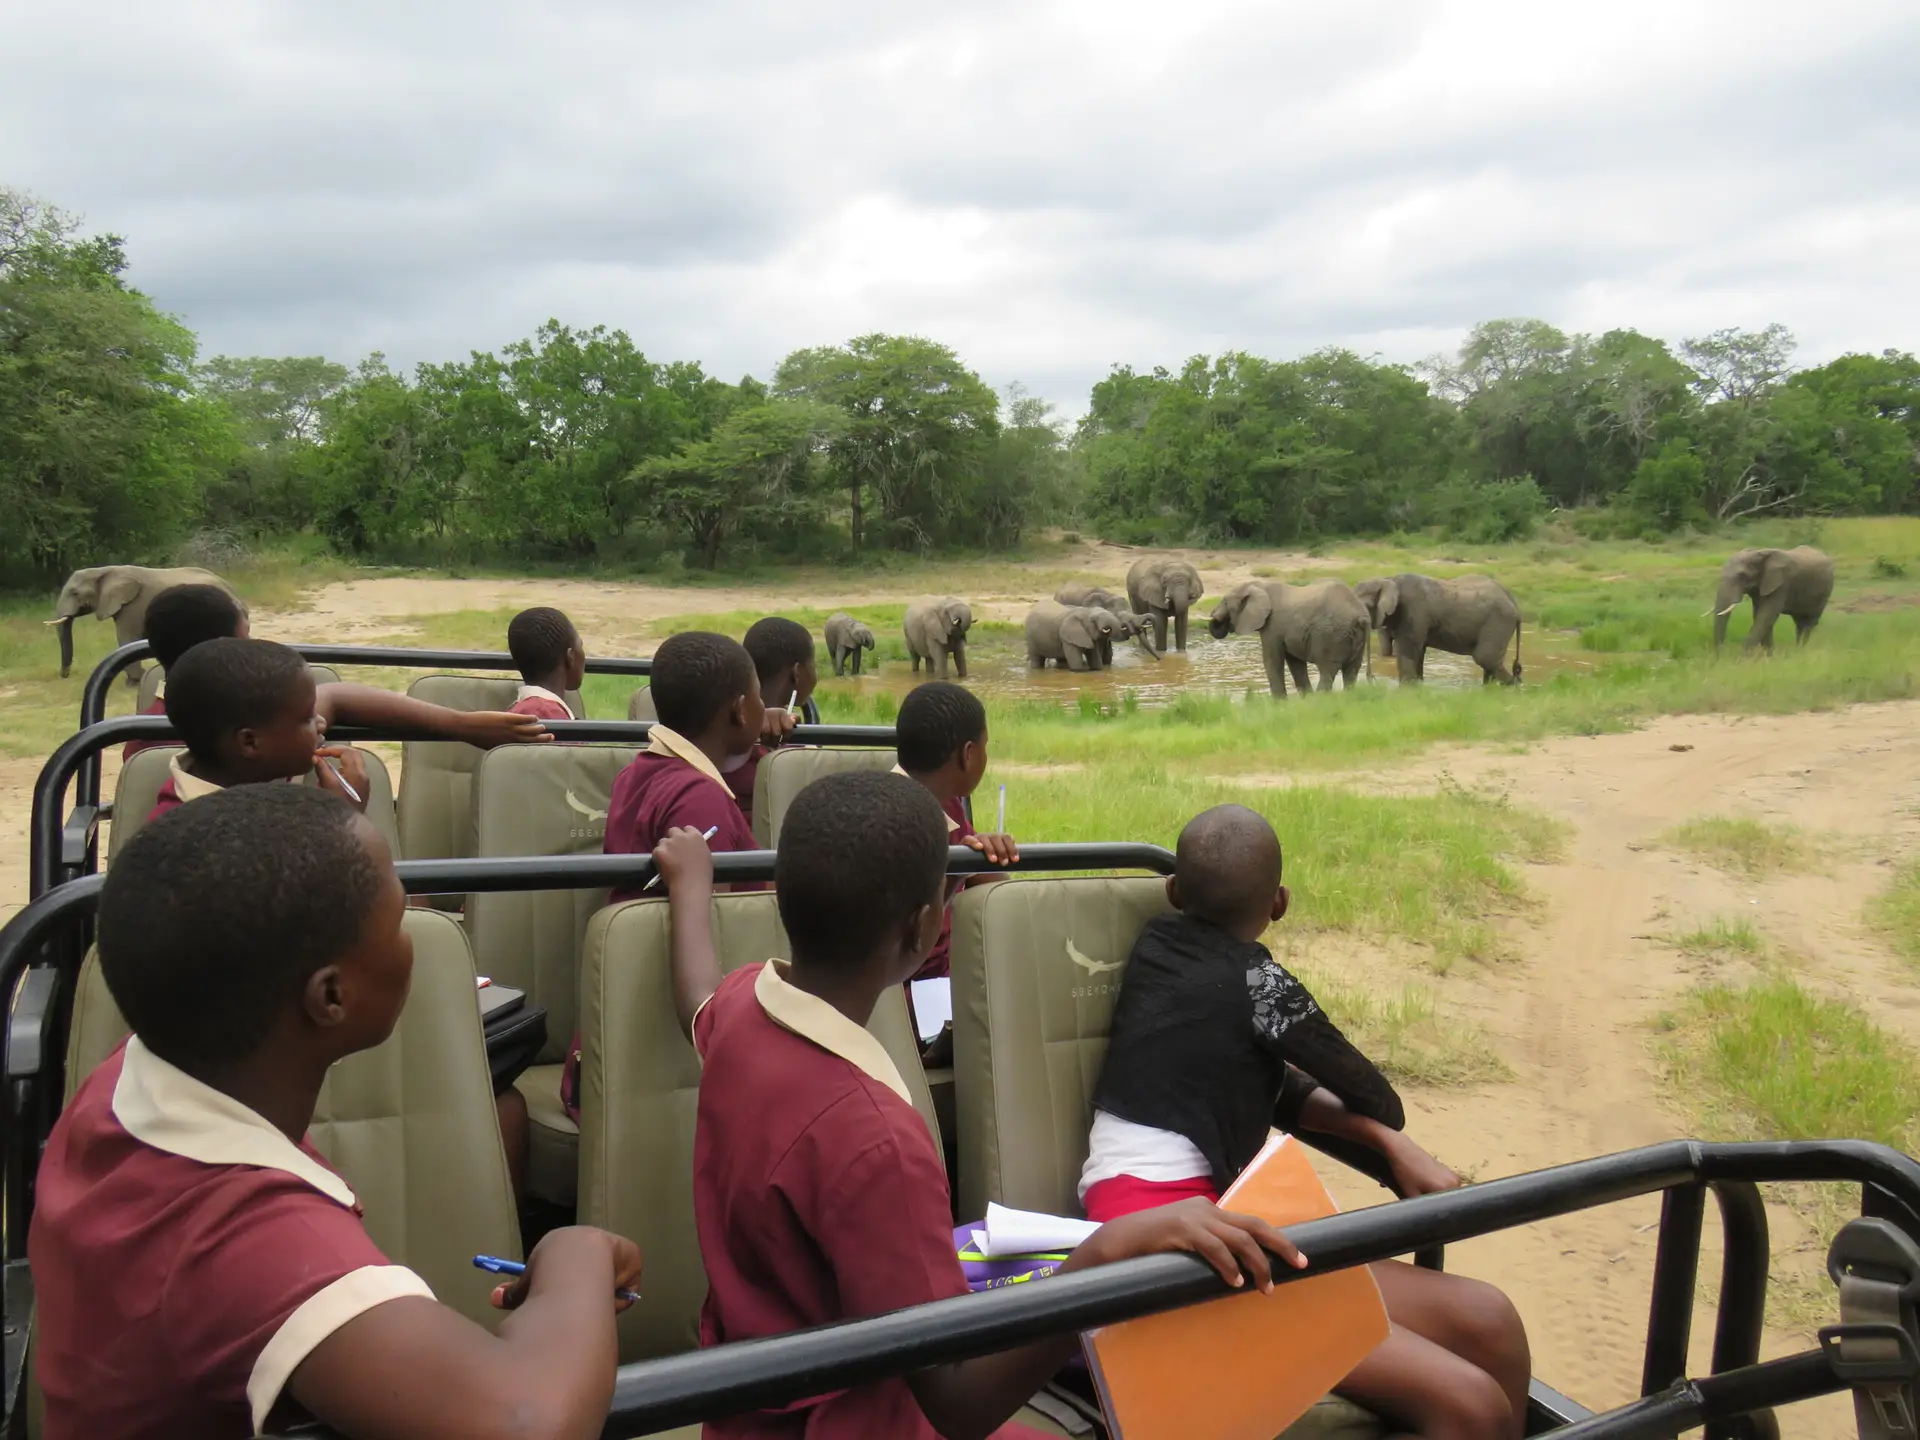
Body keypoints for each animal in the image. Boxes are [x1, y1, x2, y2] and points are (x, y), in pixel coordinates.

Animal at [49, 565, 235, 682]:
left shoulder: (133, 605)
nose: (64, 675)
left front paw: (135, 680)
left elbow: (126, 637)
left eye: (74, 593)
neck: (104, 570)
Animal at [1208, 579, 1369, 697]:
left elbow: (1272, 660)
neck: (1260, 585)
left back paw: (1319, 700)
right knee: (1352, 669)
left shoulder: (1273, 627)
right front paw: (1306, 698)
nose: (1214, 617)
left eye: (1225, 602)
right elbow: (1295, 662)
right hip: (1354, 638)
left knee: (1327, 669)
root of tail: (1360, 616)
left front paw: (1279, 705)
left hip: (1331, 635)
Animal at [1354, 574, 1523, 685]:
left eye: (1366, 605)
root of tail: (1514, 601)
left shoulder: (1413, 612)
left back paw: (1513, 687)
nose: (1371, 679)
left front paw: (1407, 690)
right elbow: (1418, 652)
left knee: (1485, 657)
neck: (1389, 579)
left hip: (1499, 620)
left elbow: (1407, 651)